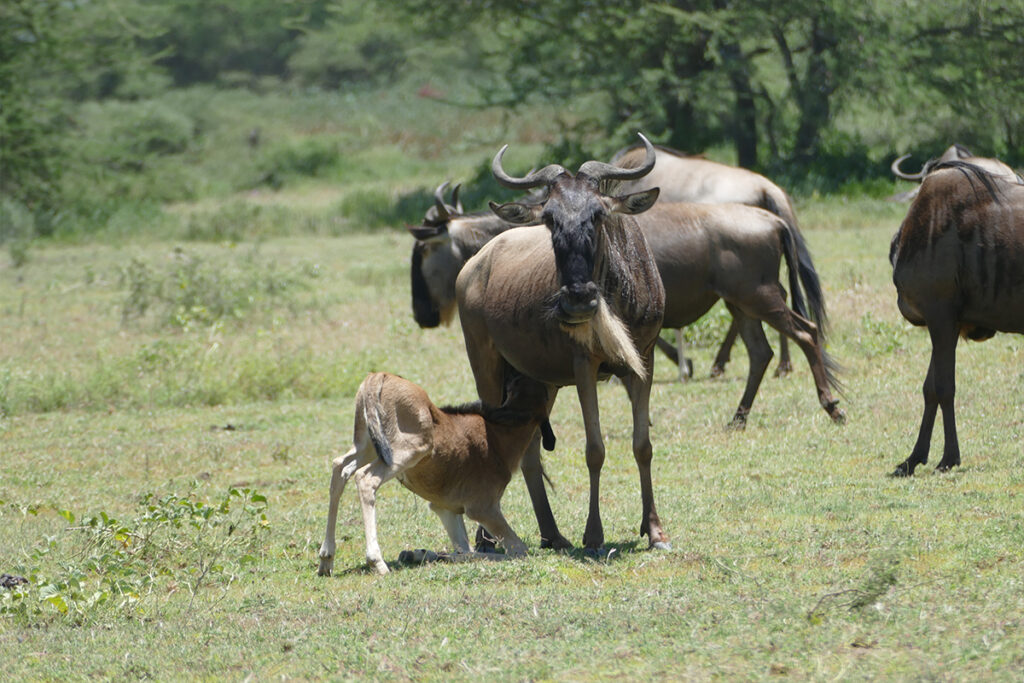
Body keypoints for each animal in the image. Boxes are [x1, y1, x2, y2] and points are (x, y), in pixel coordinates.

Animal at [317, 370, 552, 573]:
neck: (498, 435)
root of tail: (380, 376)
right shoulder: (483, 508)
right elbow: (518, 550)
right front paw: (424, 554)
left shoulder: (445, 508)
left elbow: (465, 548)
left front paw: (421, 554)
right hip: (407, 451)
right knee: (365, 479)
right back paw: (377, 561)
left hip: (366, 446)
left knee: (340, 467)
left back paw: (326, 559)